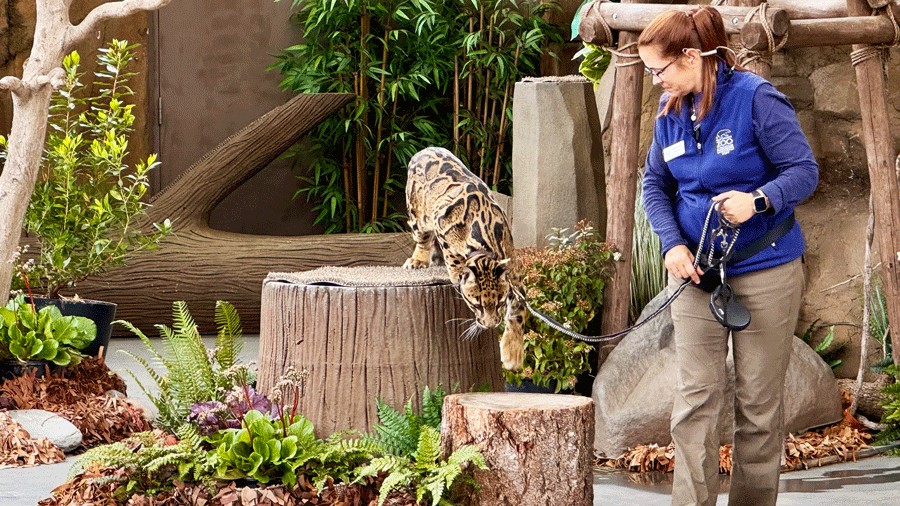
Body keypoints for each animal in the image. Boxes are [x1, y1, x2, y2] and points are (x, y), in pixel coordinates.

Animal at [402, 146, 526, 370]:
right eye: (476, 305)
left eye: (500, 303)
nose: (491, 325)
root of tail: (426, 149)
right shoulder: (441, 223)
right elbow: (450, 254)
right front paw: (455, 268)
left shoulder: (513, 269)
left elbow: (519, 308)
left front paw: (513, 350)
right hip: (417, 213)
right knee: (422, 238)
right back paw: (419, 259)